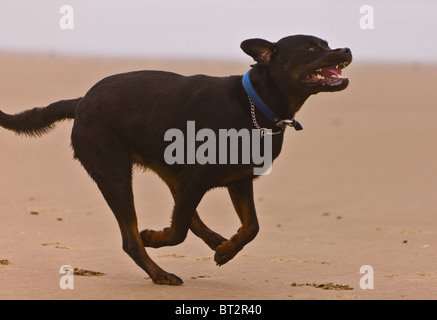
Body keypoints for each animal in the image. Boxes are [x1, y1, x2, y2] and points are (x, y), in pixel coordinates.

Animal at [0, 35, 350, 284]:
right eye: (311, 47)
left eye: (327, 44)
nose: (346, 49)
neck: (257, 105)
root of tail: (81, 101)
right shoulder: (196, 179)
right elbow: (177, 231)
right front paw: (155, 237)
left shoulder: (238, 180)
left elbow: (252, 226)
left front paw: (226, 250)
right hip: (114, 171)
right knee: (133, 238)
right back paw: (159, 271)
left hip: (168, 168)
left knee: (186, 215)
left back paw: (216, 241)